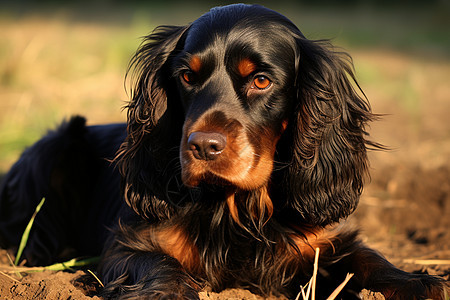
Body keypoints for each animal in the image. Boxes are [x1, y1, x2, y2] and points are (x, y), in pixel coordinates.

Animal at [0, 3, 448, 298]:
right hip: (54, 146)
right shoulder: (132, 244)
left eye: (262, 80)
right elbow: (159, 265)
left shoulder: (317, 244)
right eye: (186, 76)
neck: (235, 205)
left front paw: (418, 281)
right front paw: (167, 292)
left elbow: (366, 258)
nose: (202, 146)